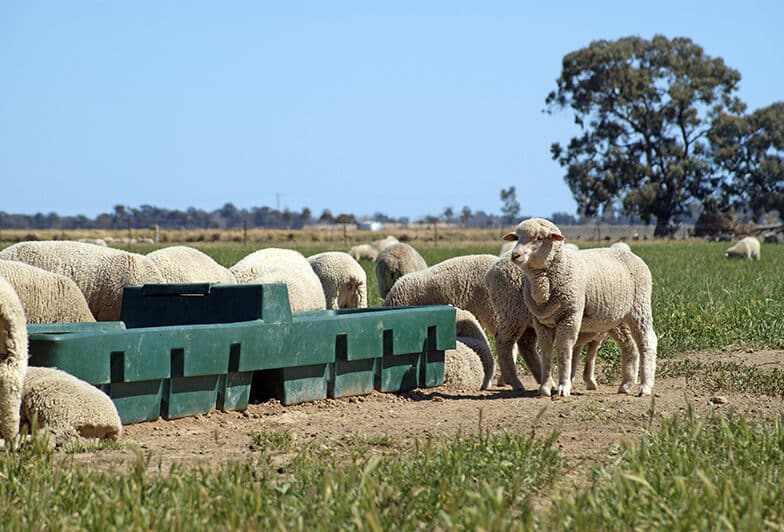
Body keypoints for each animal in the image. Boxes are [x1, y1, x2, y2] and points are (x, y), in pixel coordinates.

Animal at [503, 218, 657, 397]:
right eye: (517, 238)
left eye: (539, 238)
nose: (515, 255)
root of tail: (631, 254)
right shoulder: (541, 321)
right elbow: (546, 351)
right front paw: (545, 387)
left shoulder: (570, 316)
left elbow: (564, 350)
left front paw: (563, 386)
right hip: (617, 319)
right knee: (629, 345)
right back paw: (626, 384)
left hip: (640, 306)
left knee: (647, 340)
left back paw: (645, 387)